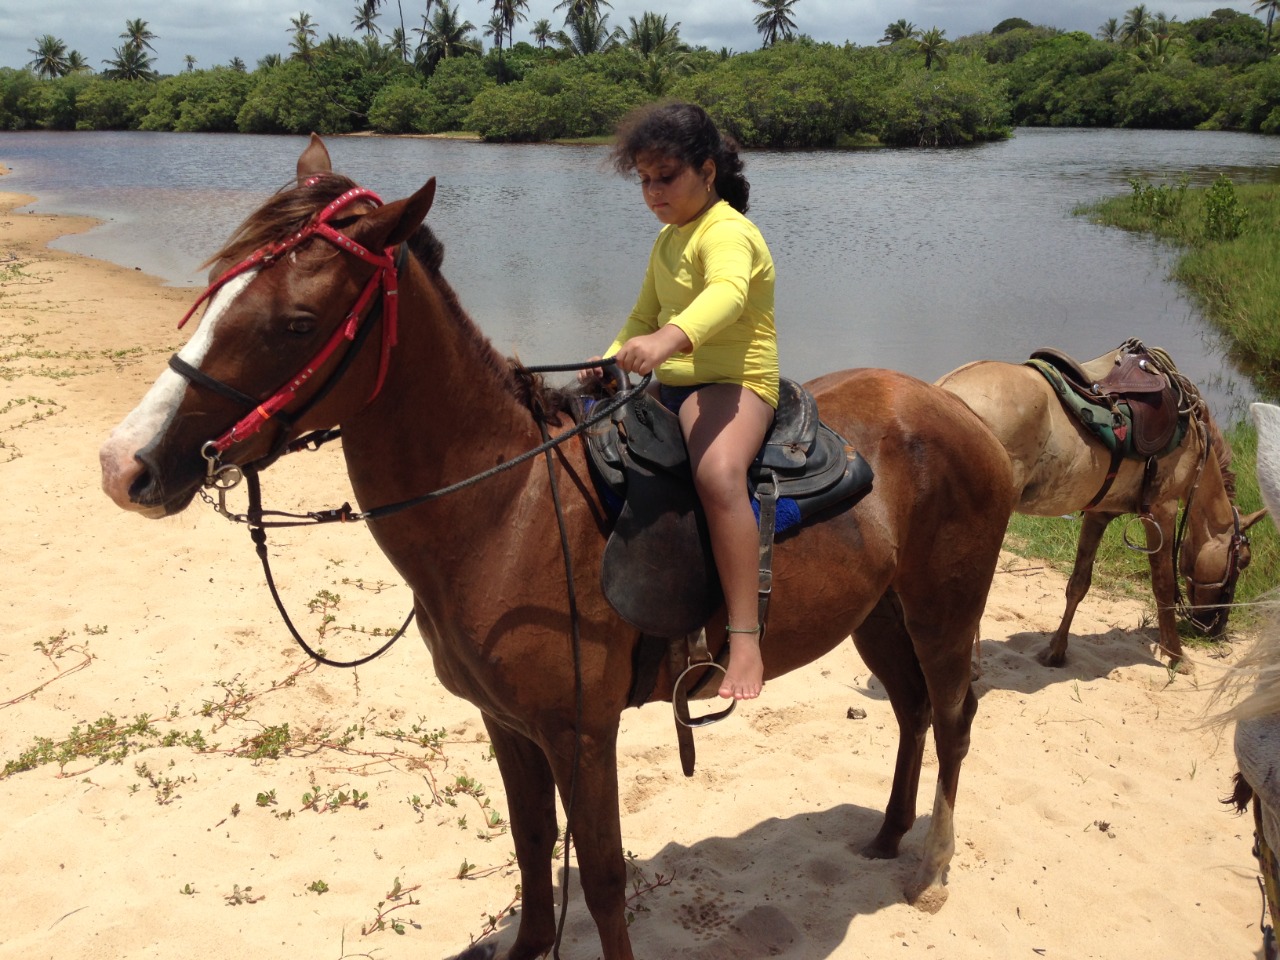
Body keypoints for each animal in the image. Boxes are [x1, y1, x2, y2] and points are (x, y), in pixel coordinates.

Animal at [99, 136, 1013, 960]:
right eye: (215, 292)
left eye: (296, 323)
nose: (125, 464)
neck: (507, 509)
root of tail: (954, 411)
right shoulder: (508, 724)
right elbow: (533, 844)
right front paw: (531, 941)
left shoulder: (580, 732)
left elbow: (602, 875)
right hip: (880, 614)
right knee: (911, 710)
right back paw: (890, 835)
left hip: (942, 614)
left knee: (954, 720)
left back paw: (933, 869)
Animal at [936, 350, 1264, 670]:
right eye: (1242, 561)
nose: (1213, 628)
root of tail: (945, 389)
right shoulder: (1162, 510)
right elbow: (1163, 586)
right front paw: (1176, 656)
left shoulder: (1099, 514)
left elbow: (1079, 583)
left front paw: (1056, 652)